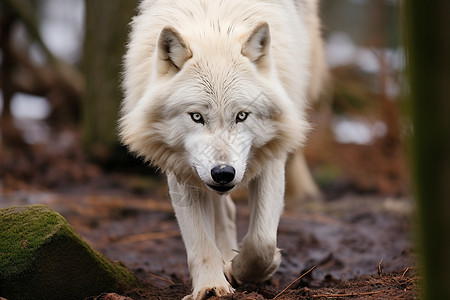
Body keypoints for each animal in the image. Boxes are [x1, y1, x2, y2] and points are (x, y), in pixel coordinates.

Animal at [119, 1, 326, 298]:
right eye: (196, 117)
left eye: (241, 116)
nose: (224, 173)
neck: (214, 21)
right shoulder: (182, 169)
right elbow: (200, 243)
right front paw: (211, 287)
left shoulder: (272, 156)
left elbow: (262, 242)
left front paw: (241, 269)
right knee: (224, 211)